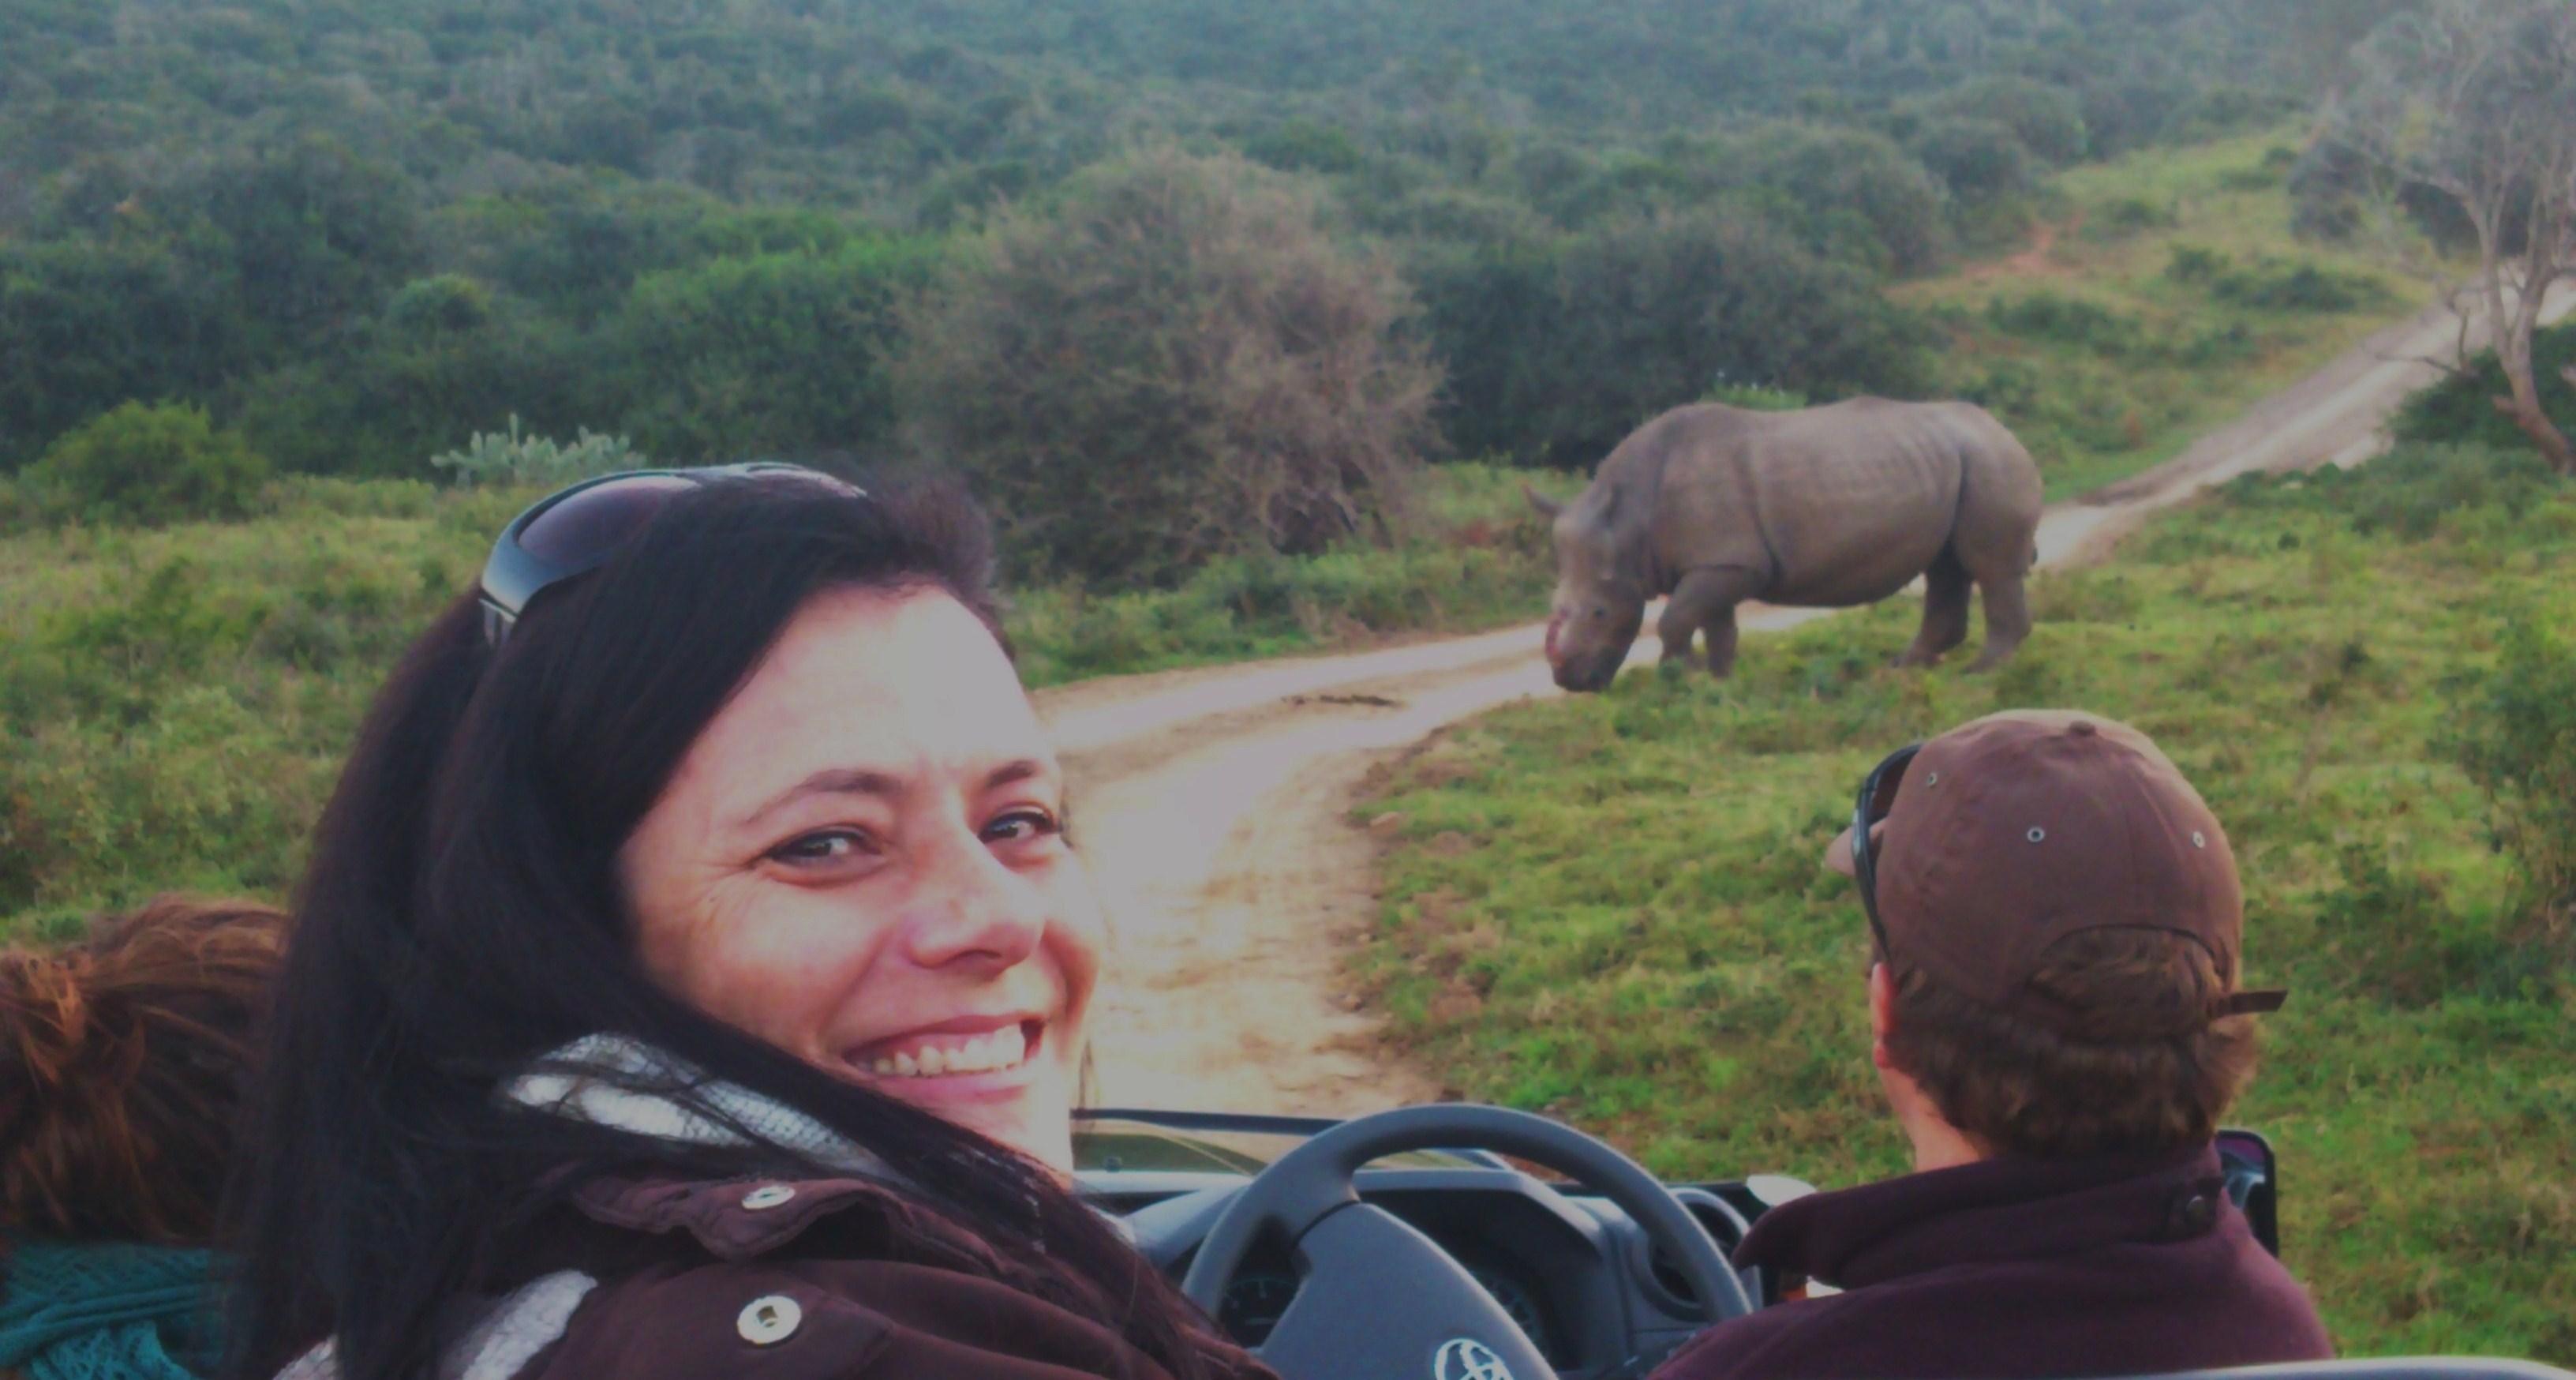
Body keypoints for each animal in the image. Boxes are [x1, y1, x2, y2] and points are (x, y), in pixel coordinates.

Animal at [1525, 404, 2050, 695]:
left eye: (1598, 613)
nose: (1570, 682)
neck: (1628, 521)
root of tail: (2004, 429)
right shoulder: (1722, 560)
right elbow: (1717, 626)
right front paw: (1718, 682)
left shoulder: (1727, 561)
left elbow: (1675, 619)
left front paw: (1677, 680)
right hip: (1955, 462)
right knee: (1946, 567)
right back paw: (1902, 670)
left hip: (1989, 461)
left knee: (1988, 569)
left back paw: (1981, 674)